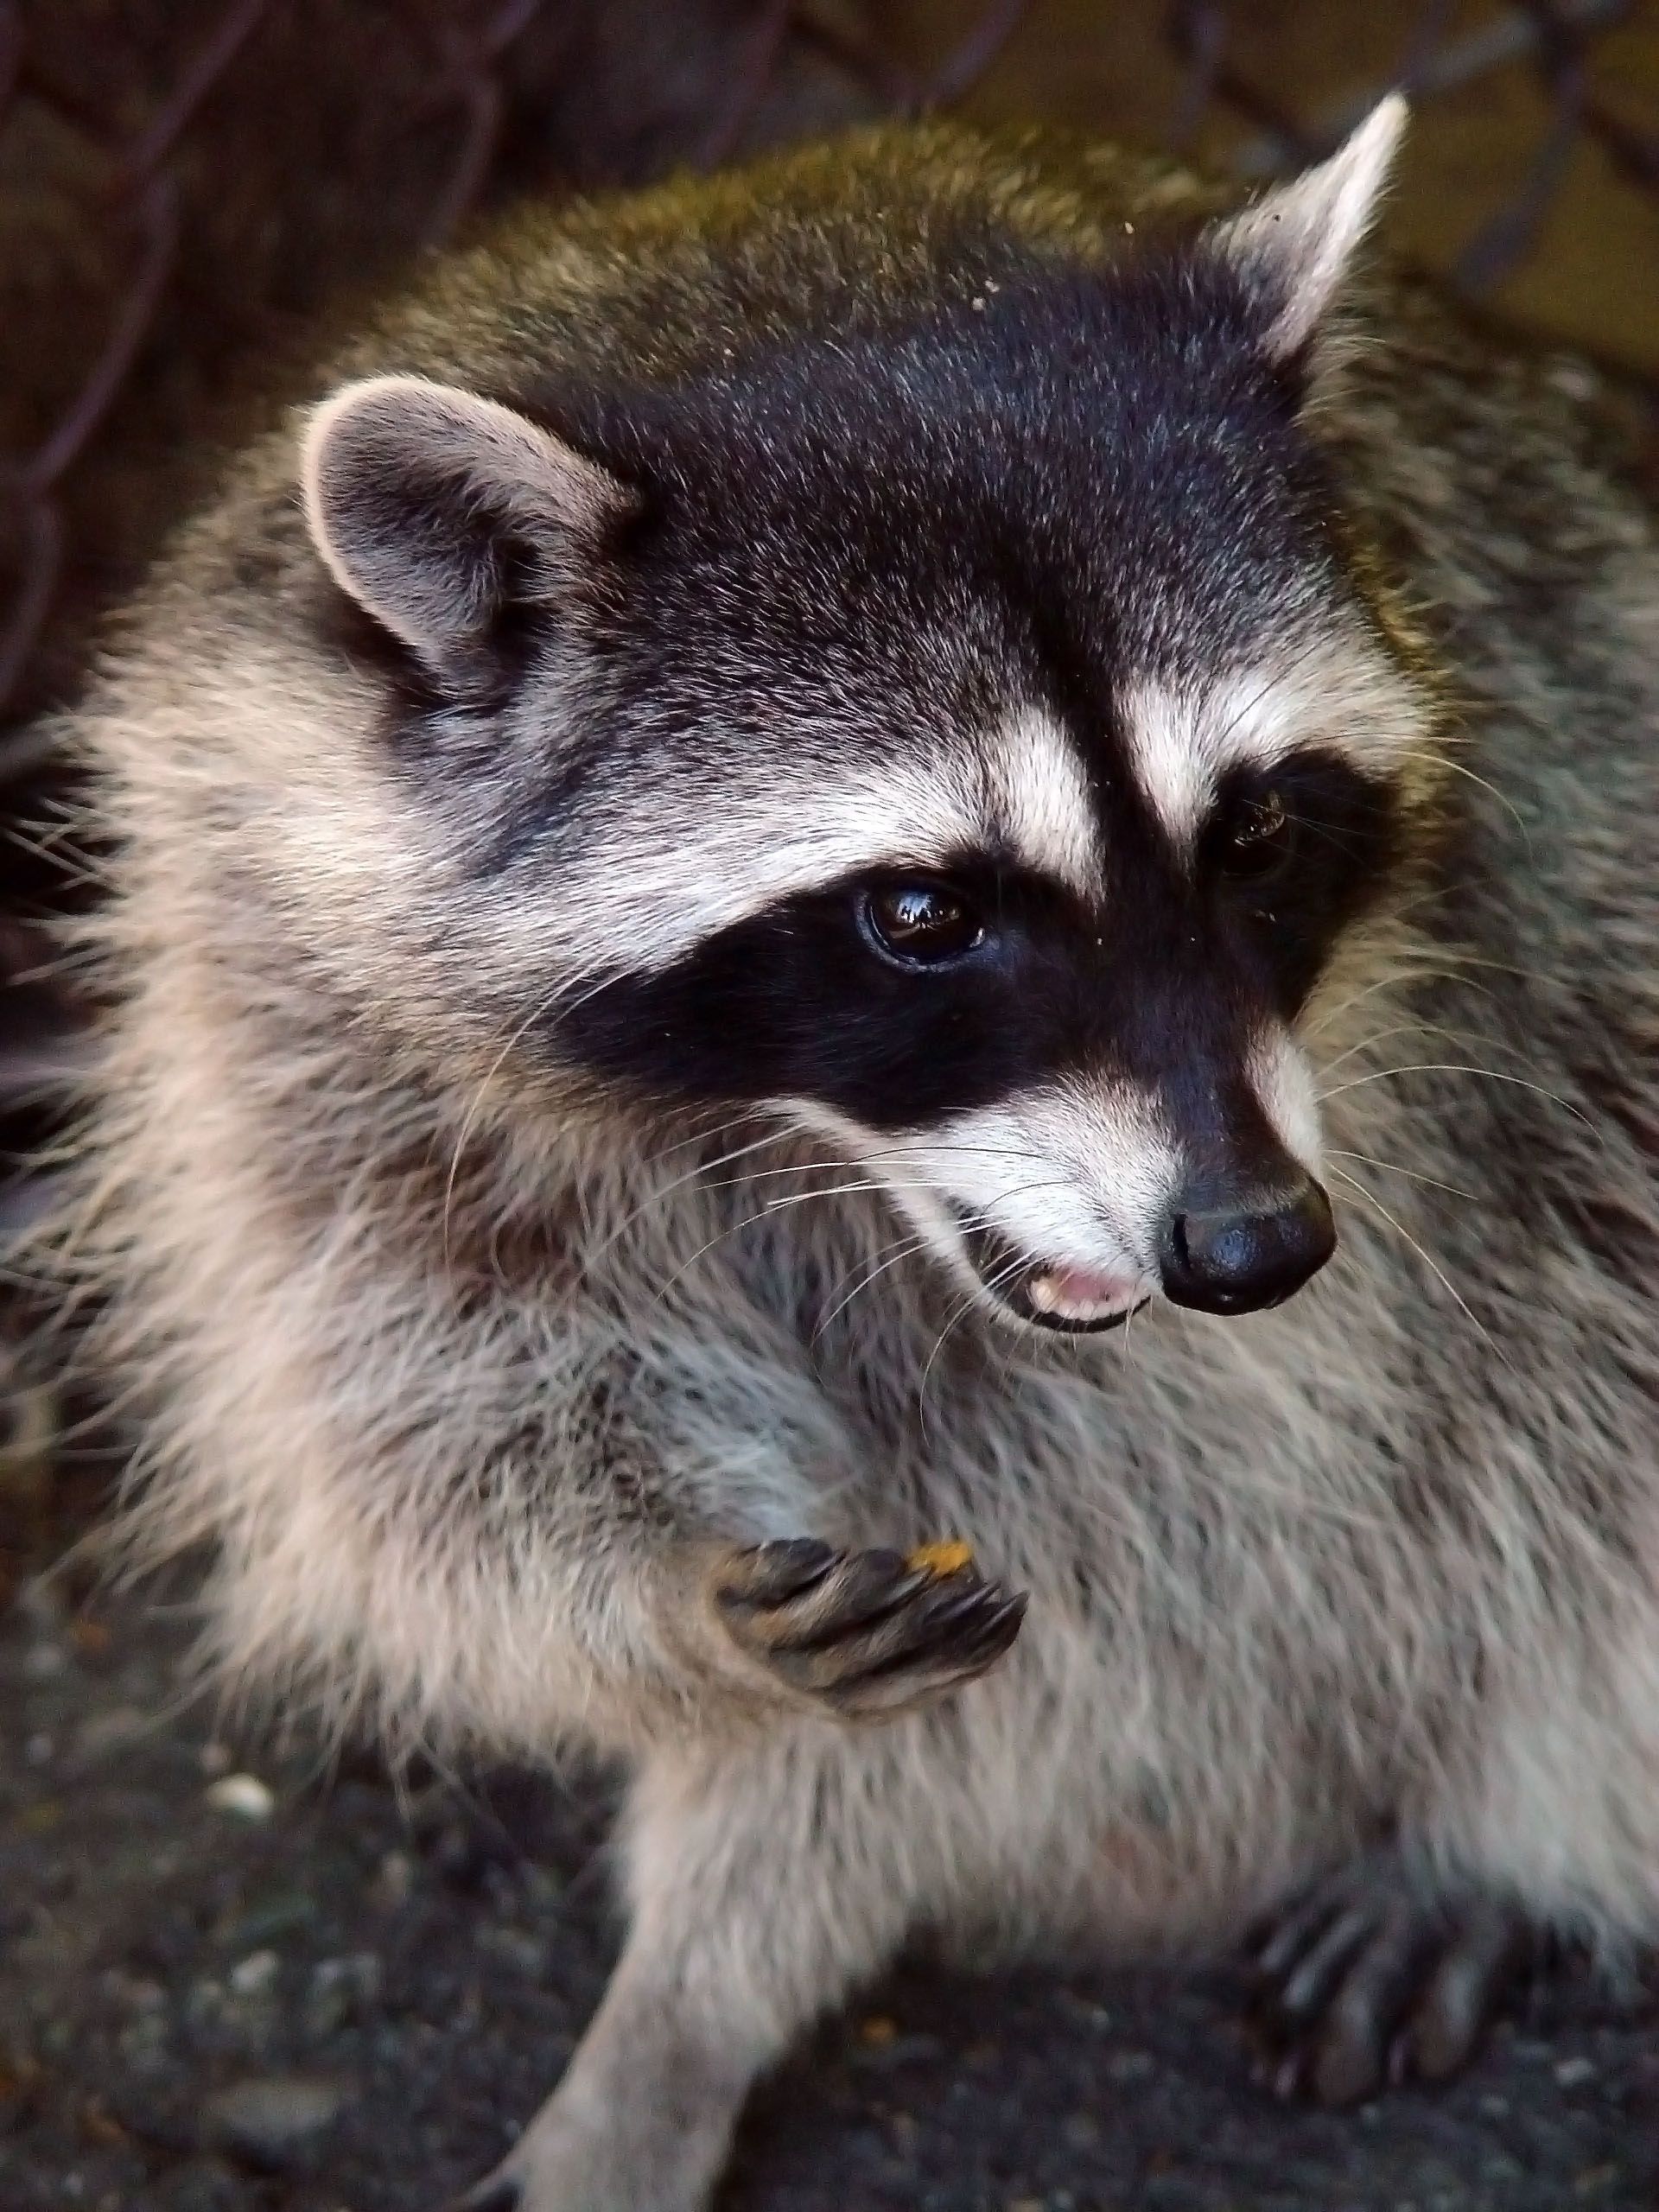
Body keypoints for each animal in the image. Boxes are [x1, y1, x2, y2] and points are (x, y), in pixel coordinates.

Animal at [55, 96, 1659, 2211]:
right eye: (920, 915)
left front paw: (700, 1986)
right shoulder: (286, 987)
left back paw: (1503, 1831)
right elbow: (431, 1423)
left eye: (1252, 832)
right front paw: (668, 1640)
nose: (1254, 1245)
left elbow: (1170, 1566)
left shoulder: (1407, 1100)